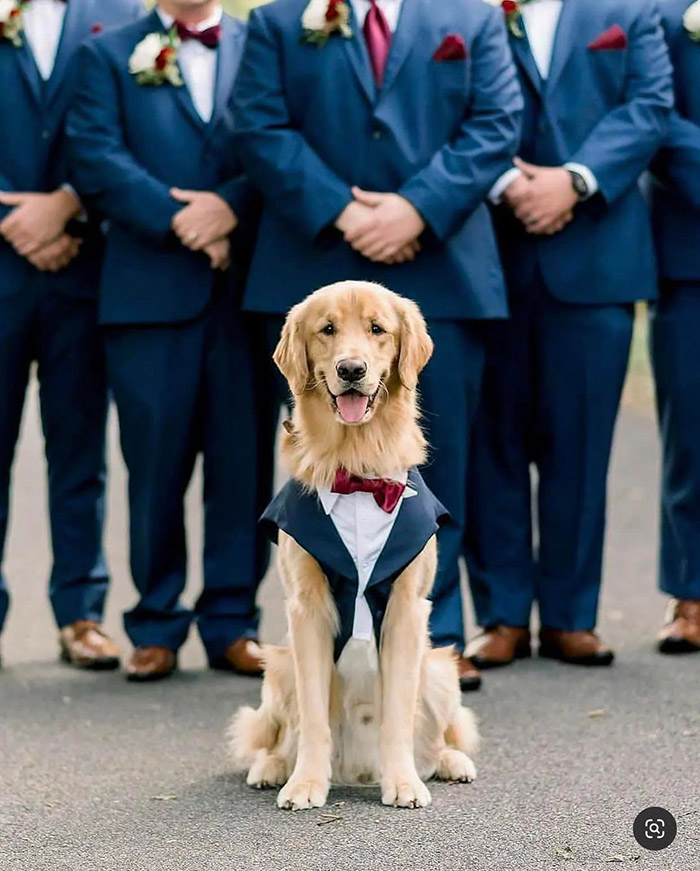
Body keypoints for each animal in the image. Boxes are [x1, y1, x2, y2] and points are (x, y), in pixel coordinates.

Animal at [227, 284, 478, 812]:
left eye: (377, 329)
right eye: (327, 330)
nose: (351, 369)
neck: (358, 472)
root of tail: (355, 772)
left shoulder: (407, 607)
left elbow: (397, 713)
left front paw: (403, 781)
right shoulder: (307, 608)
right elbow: (314, 718)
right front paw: (305, 783)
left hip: (441, 667)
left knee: (441, 735)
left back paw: (449, 763)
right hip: (278, 666)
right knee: (277, 735)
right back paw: (273, 768)